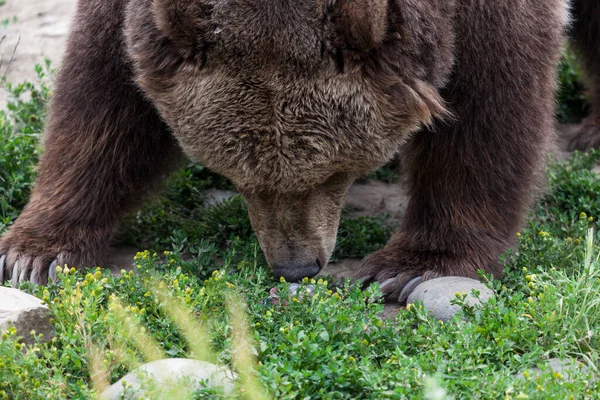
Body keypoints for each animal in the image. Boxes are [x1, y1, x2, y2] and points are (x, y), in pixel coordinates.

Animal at [0, 0, 572, 304]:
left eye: (335, 172)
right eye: (237, 176)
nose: (295, 266)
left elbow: (487, 93)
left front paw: (415, 266)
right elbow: (103, 87)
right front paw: (34, 253)